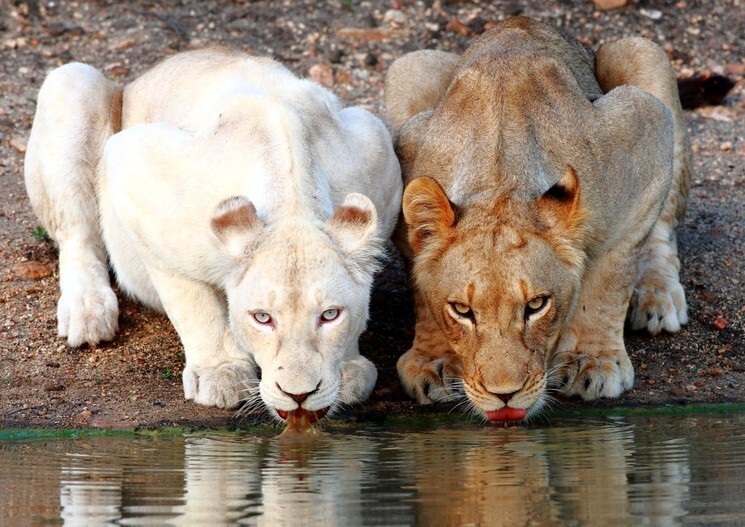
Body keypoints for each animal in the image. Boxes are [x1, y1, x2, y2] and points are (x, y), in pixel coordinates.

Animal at [24, 47, 402, 422]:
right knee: (78, 235)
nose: (298, 395)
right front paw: (221, 373)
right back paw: (88, 312)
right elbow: (192, 301)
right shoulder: (135, 169)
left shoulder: (377, 147)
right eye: (262, 318)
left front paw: (349, 369)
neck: (292, 197)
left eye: (330, 315)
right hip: (71, 83)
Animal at [384, 15, 692, 420]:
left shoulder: (643, 128)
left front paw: (591, 360)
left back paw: (657, 297)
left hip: (641, 52)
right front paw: (433, 360)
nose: (504, 395)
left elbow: (611, 276)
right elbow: (421, 288)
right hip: (411, 66)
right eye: (462, 310)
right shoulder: (406, 159)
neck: (500, 178)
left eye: (536, 305)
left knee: (662, 230)